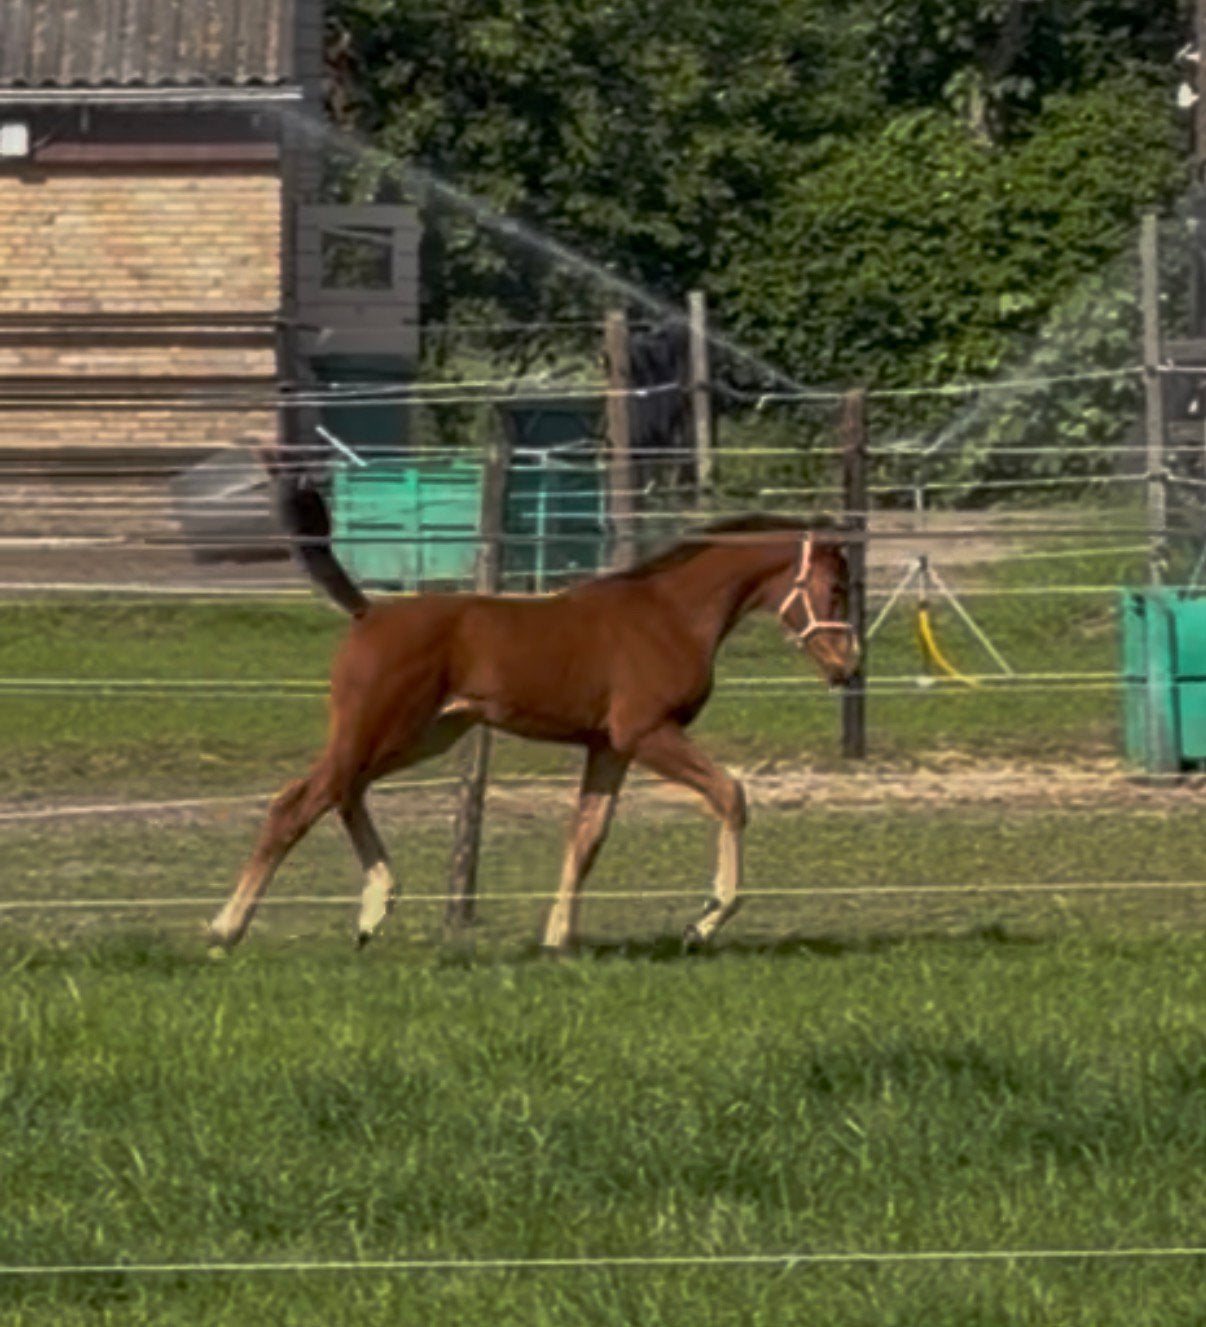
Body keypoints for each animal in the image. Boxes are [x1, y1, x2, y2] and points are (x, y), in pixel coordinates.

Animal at [207, 456, 859, 954]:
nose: (847, 665)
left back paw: (373, 909)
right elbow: (730, 794)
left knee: (344, 793)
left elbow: (587, 836)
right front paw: (704, 920)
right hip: (378, 728)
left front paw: (557, 938)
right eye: (834, 587)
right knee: (298, 803)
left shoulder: (610, 745)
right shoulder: (648, 731)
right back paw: (226, 929)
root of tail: (369, 612)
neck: (669, 614)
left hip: (422, 736)